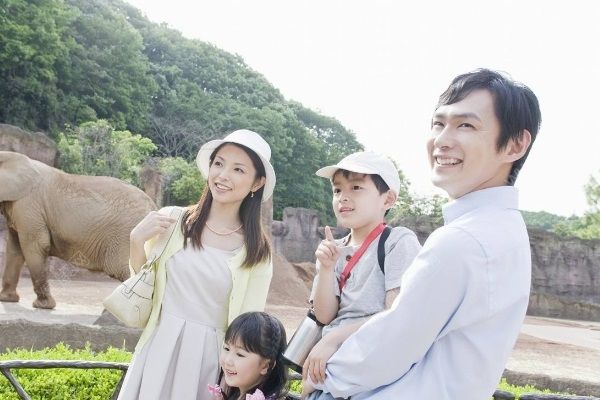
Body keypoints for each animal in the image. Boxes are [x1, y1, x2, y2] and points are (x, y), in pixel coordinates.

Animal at [0, 151, 157, 310]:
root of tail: (154, 207)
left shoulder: (29, 206)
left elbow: (35, 245)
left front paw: (42, 305)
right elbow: (15, 248)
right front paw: (7, 298)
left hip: (127, 234)